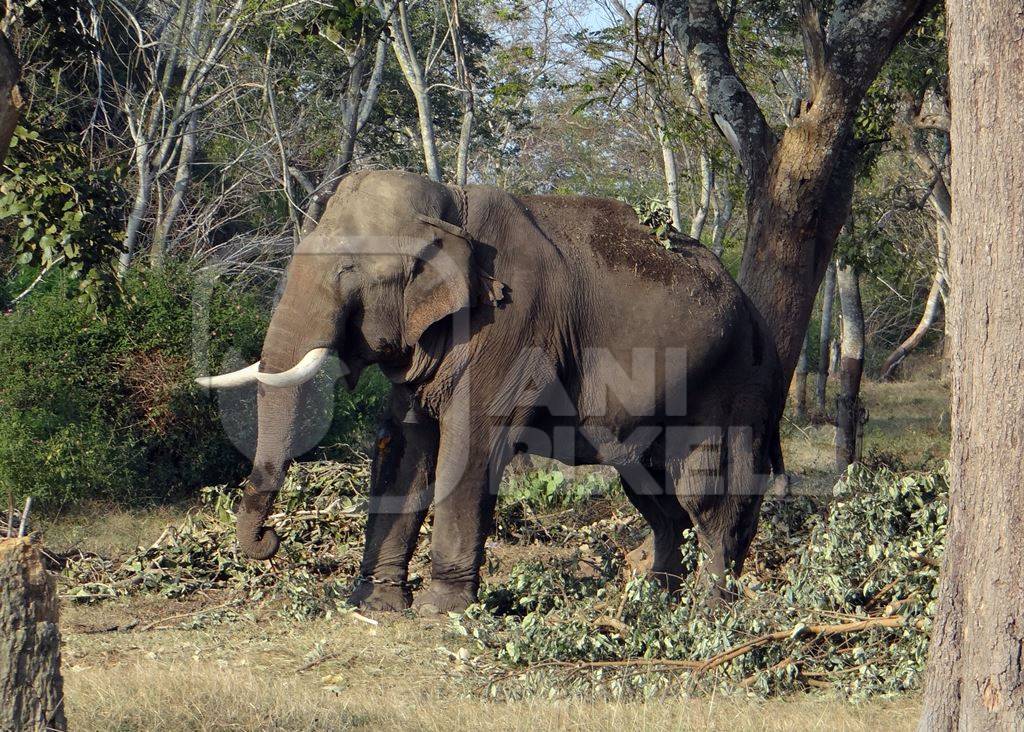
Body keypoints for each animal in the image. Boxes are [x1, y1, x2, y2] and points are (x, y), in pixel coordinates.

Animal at [197, 169, 782, 614]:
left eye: (348, 269)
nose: (269, 540)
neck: (451, 204)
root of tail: (756, 314)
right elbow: (405, 449)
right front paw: (375, 606)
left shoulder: (512, 325)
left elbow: (470, 444)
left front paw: (440, 612)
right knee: (655, 497)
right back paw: (655, 603)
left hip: (733, 386)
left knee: (706, 495)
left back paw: (709, 609)